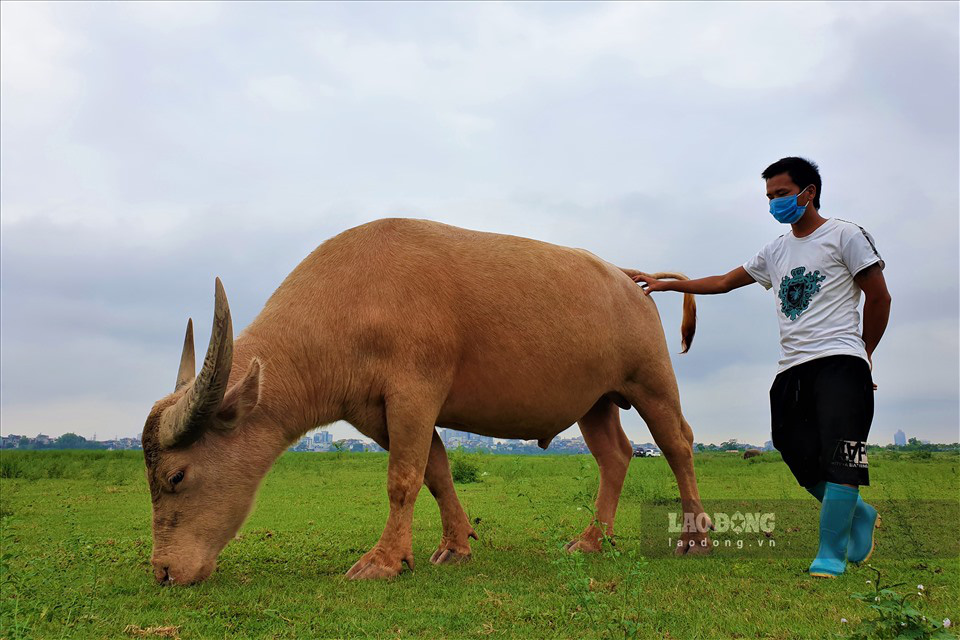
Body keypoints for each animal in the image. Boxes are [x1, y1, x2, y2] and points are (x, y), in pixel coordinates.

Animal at [142, 220, 712, 584]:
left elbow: (403, 479)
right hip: (595, 402)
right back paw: (593, 539)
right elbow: (436, 472)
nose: (164, 572)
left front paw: (384, 561)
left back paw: (695, 536)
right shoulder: (378, 414)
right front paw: (455, 546)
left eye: (175, 476)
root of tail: (630, 281)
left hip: (652, 384)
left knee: (678, 446)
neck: (351, 299)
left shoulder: (414, 394)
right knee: (615, 455)